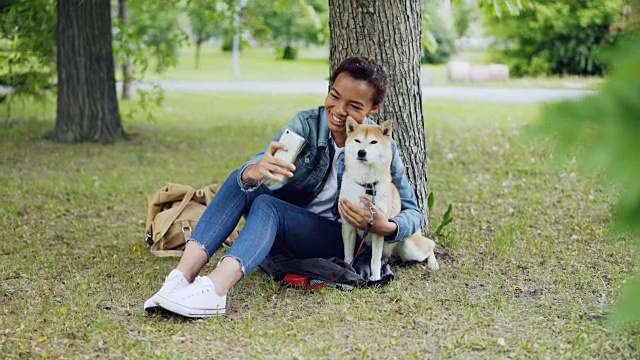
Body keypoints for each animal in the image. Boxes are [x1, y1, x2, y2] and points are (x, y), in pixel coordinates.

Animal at [340, 116, 440, 280]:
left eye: (373, 142)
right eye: (357, 140)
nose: (361, 152)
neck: (366, 184)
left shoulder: (377, 227)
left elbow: (374, 260)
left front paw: (375, 278)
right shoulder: (348, 225)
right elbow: (348, 255)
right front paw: (347, 270)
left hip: (410, 247)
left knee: (430, 245)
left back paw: (433, 263)